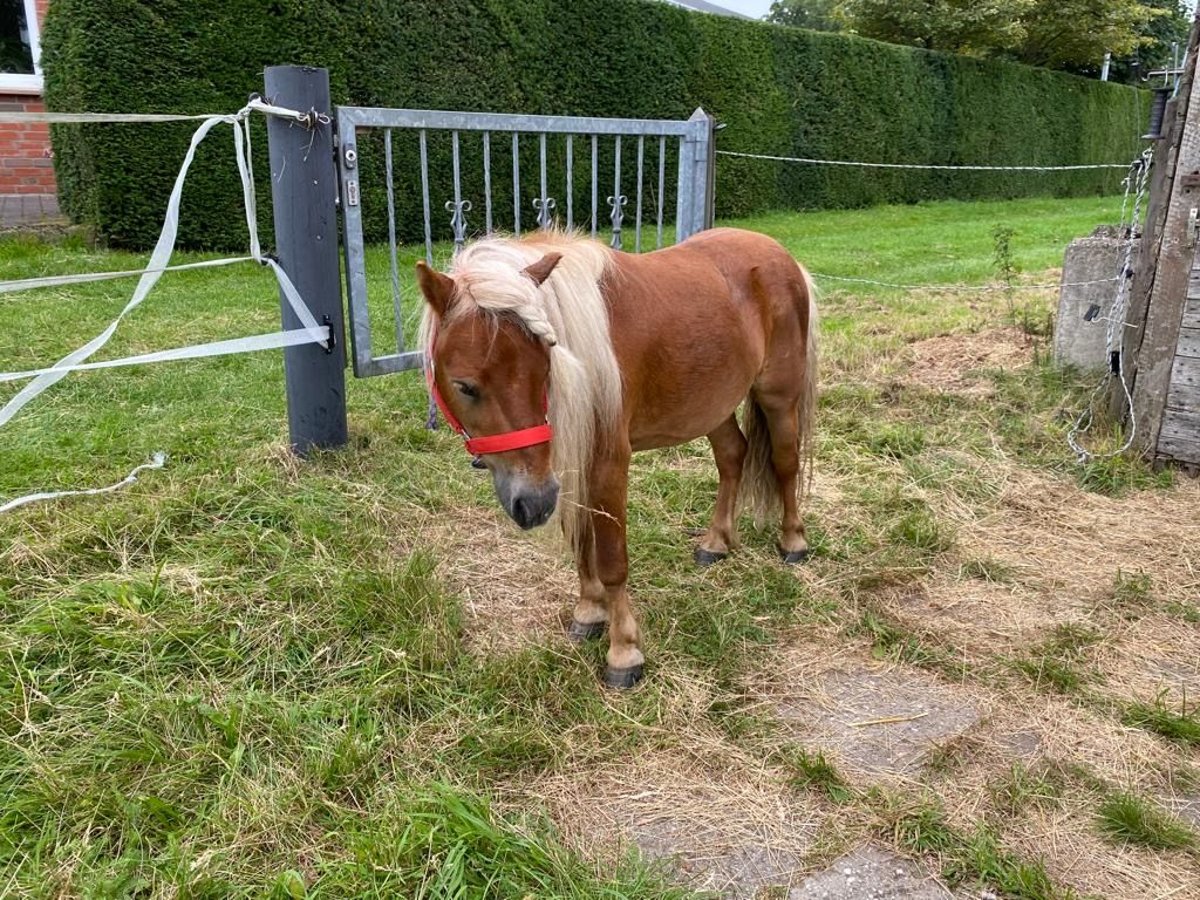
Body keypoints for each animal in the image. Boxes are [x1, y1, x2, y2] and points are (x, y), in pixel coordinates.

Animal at [417, 229, 820, 686]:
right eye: (465, 386)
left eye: (545, 368)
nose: (532, 504)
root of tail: (780, 255)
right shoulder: (569, 468)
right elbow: (581, 544)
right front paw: (589, 613)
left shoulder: (607, 465)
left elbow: (611, 559)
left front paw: (624, 651)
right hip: (713, 405)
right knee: (733, 457)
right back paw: (715, 543)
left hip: (779, 397)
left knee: (785, 463)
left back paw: (793, 542)